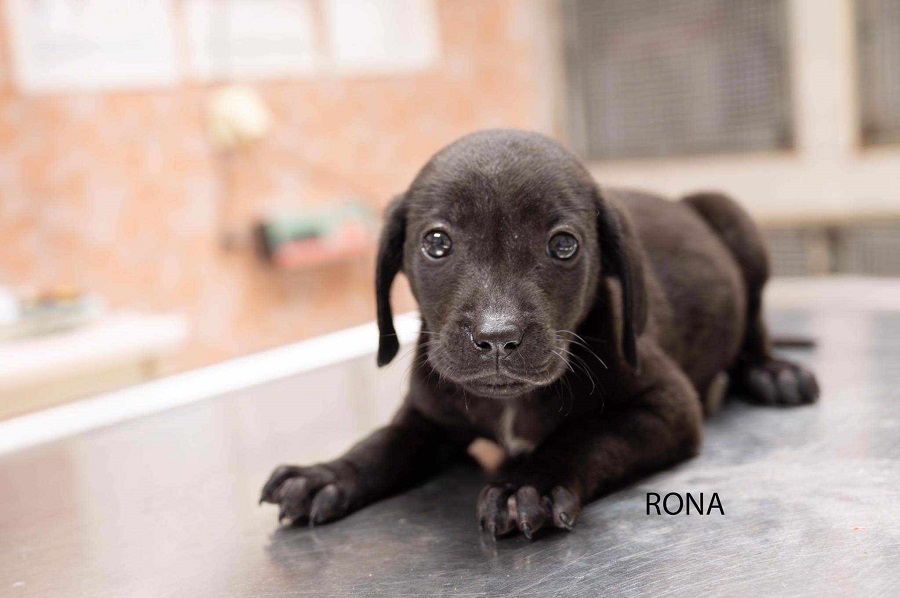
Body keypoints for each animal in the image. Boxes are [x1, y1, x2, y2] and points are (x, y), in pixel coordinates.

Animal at [260, 129, 819, 539]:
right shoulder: (427, 416)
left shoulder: (666, 403)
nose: (496, 338)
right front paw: (326, 474)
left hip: (732, 220)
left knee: (754, 322)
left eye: (563, 245)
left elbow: (586, 435)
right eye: (437, 243)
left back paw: (773, 373)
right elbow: (381, 443)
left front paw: (530, 483)